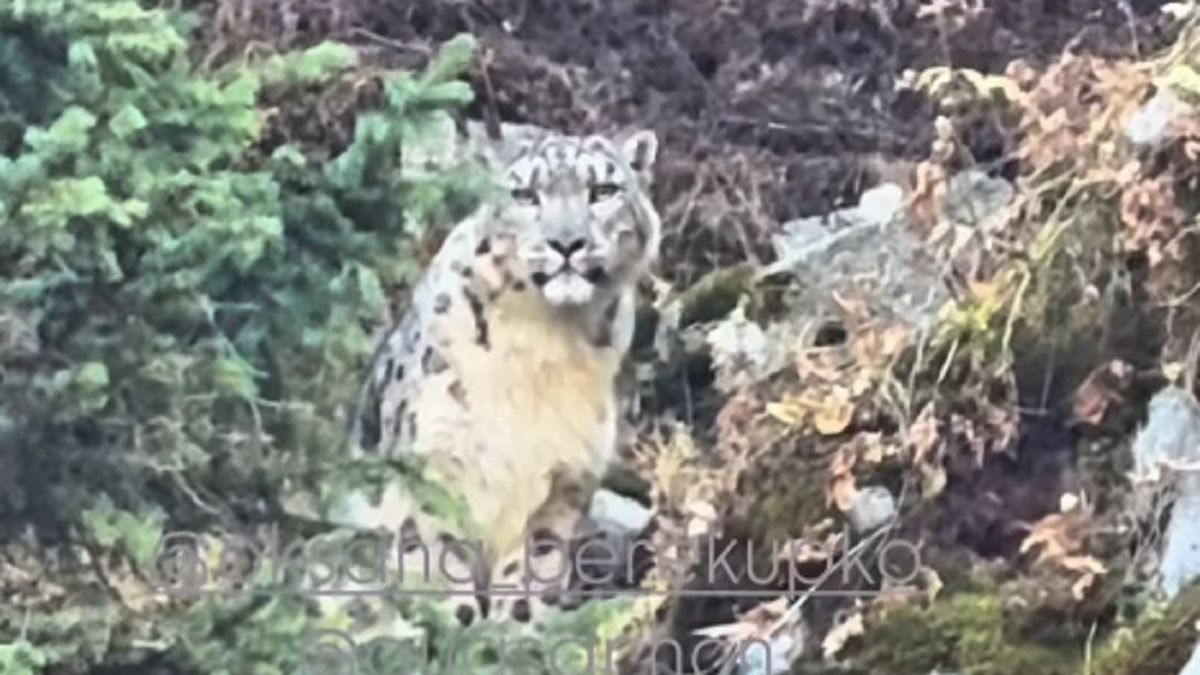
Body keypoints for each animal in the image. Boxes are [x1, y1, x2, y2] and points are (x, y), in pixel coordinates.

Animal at [326, 127, 662, 637]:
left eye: (603, 190)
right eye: (524, 194)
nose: (567, 242)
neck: (548, 342)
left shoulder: (568, 475)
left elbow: (536, 558)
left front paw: (514, 627)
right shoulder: (432, 462)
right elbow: (438, 549)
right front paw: (455, 623)